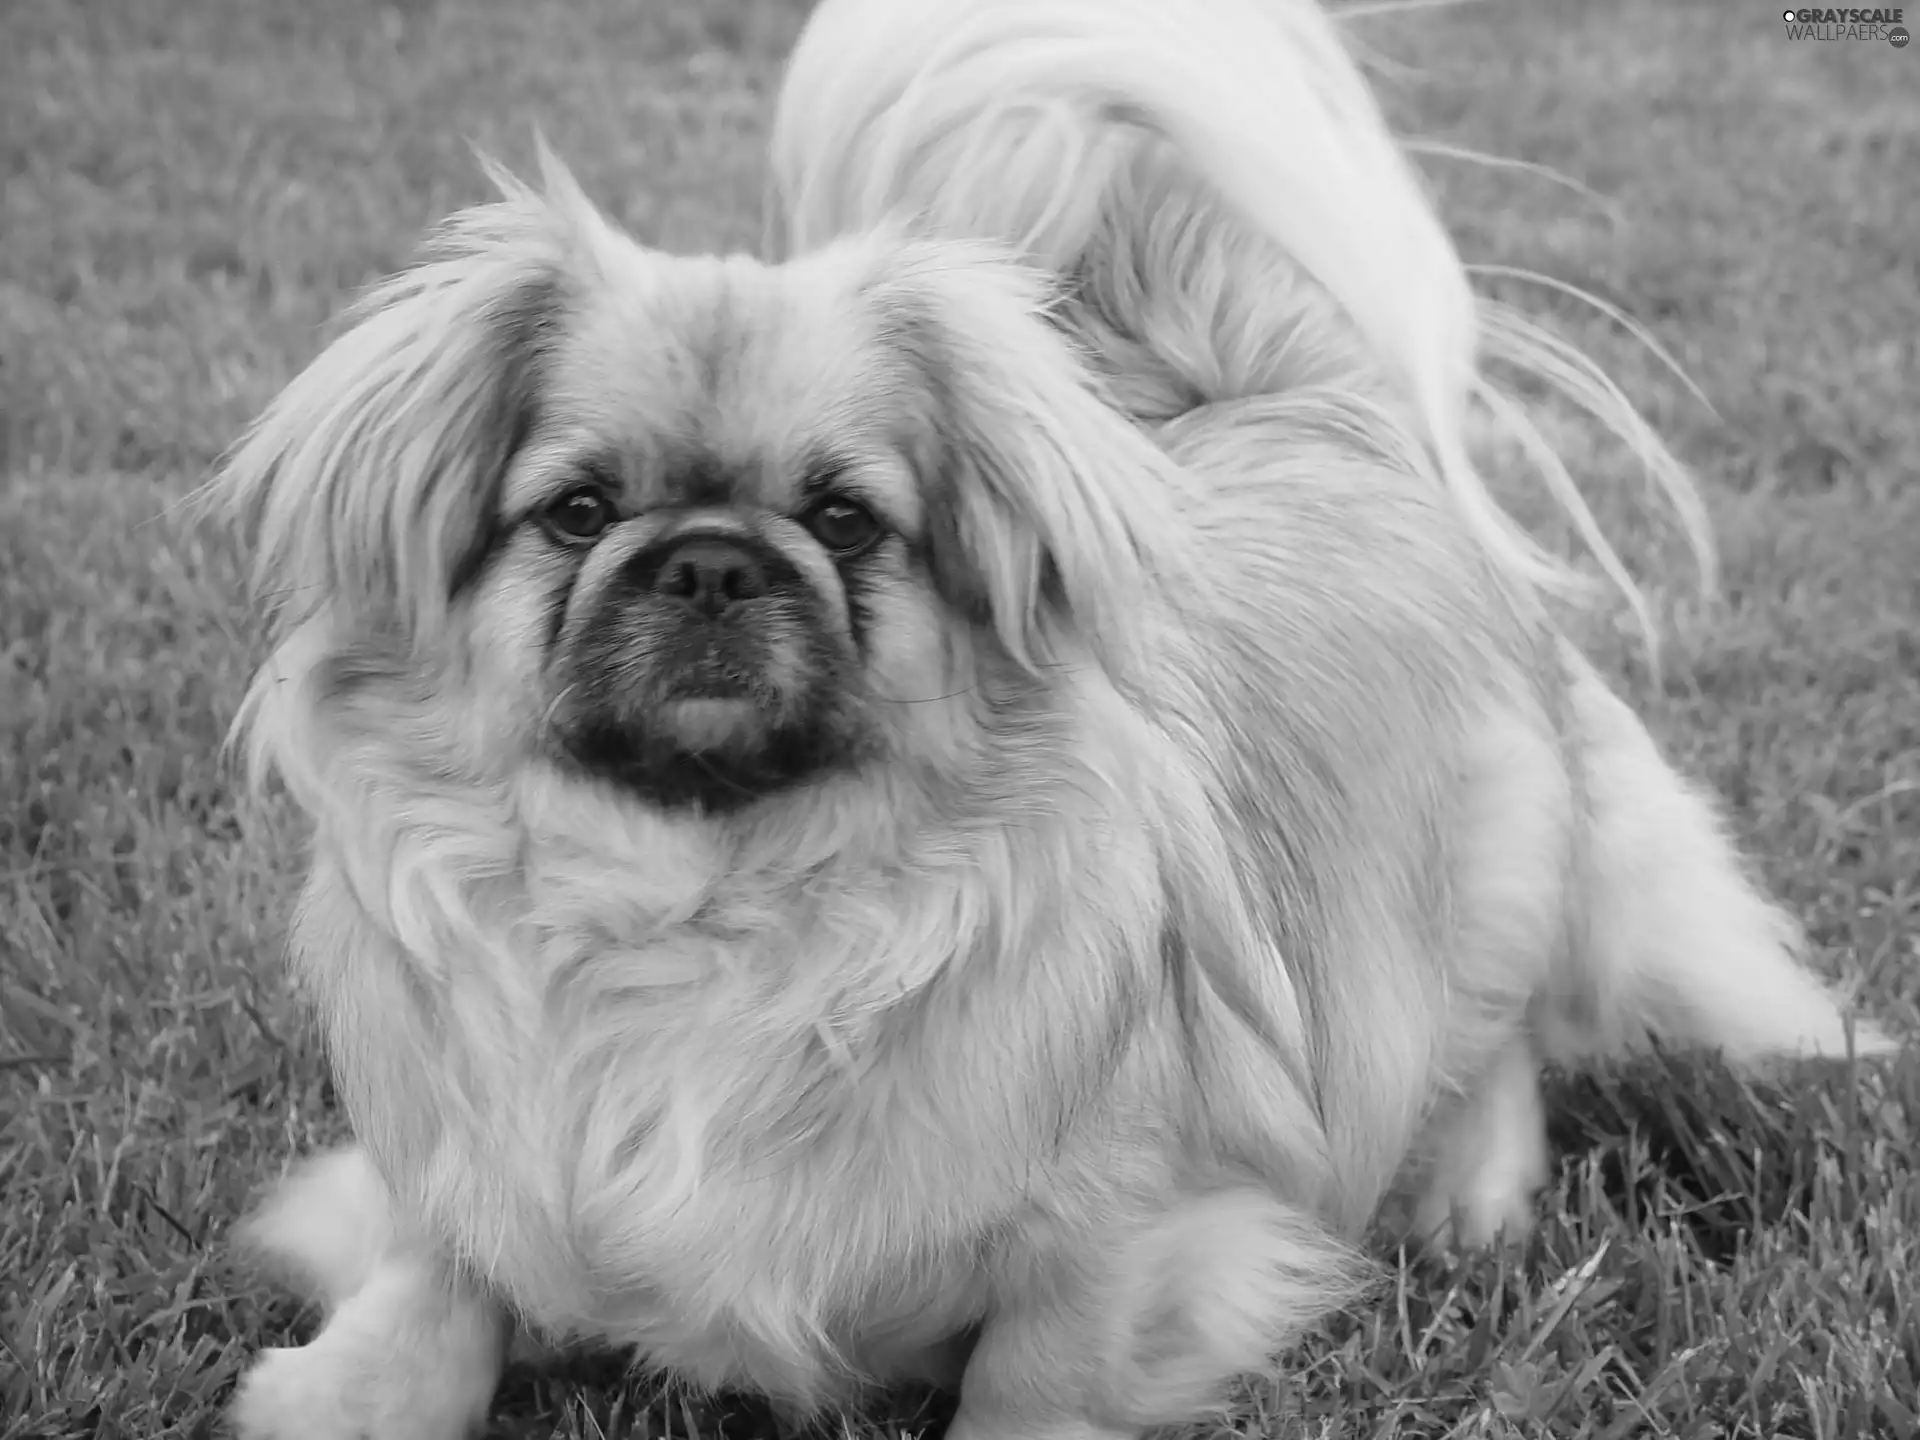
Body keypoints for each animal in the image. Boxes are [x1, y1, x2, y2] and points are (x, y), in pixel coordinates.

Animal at [220, 2, 1889, 1440]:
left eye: (846, 518)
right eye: (575, 513)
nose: (709, 561)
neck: (706, 910)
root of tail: (1304, 403)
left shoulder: (1129, 1233)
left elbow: (1038, 1375)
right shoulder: (460, 1156)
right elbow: (440, 1279)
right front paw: (351, 1397)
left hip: (1497, 873)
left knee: (1496, 1043)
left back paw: (1471, 1207)